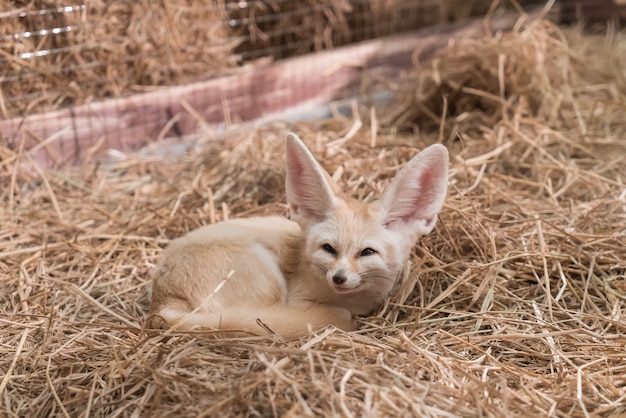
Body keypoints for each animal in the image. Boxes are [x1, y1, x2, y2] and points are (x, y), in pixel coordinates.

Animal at [148, 134, 446, 340]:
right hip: (266, 277)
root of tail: (162, 301)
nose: (338, 278)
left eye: (367, 252)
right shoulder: (295, 299)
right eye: (329, 248)